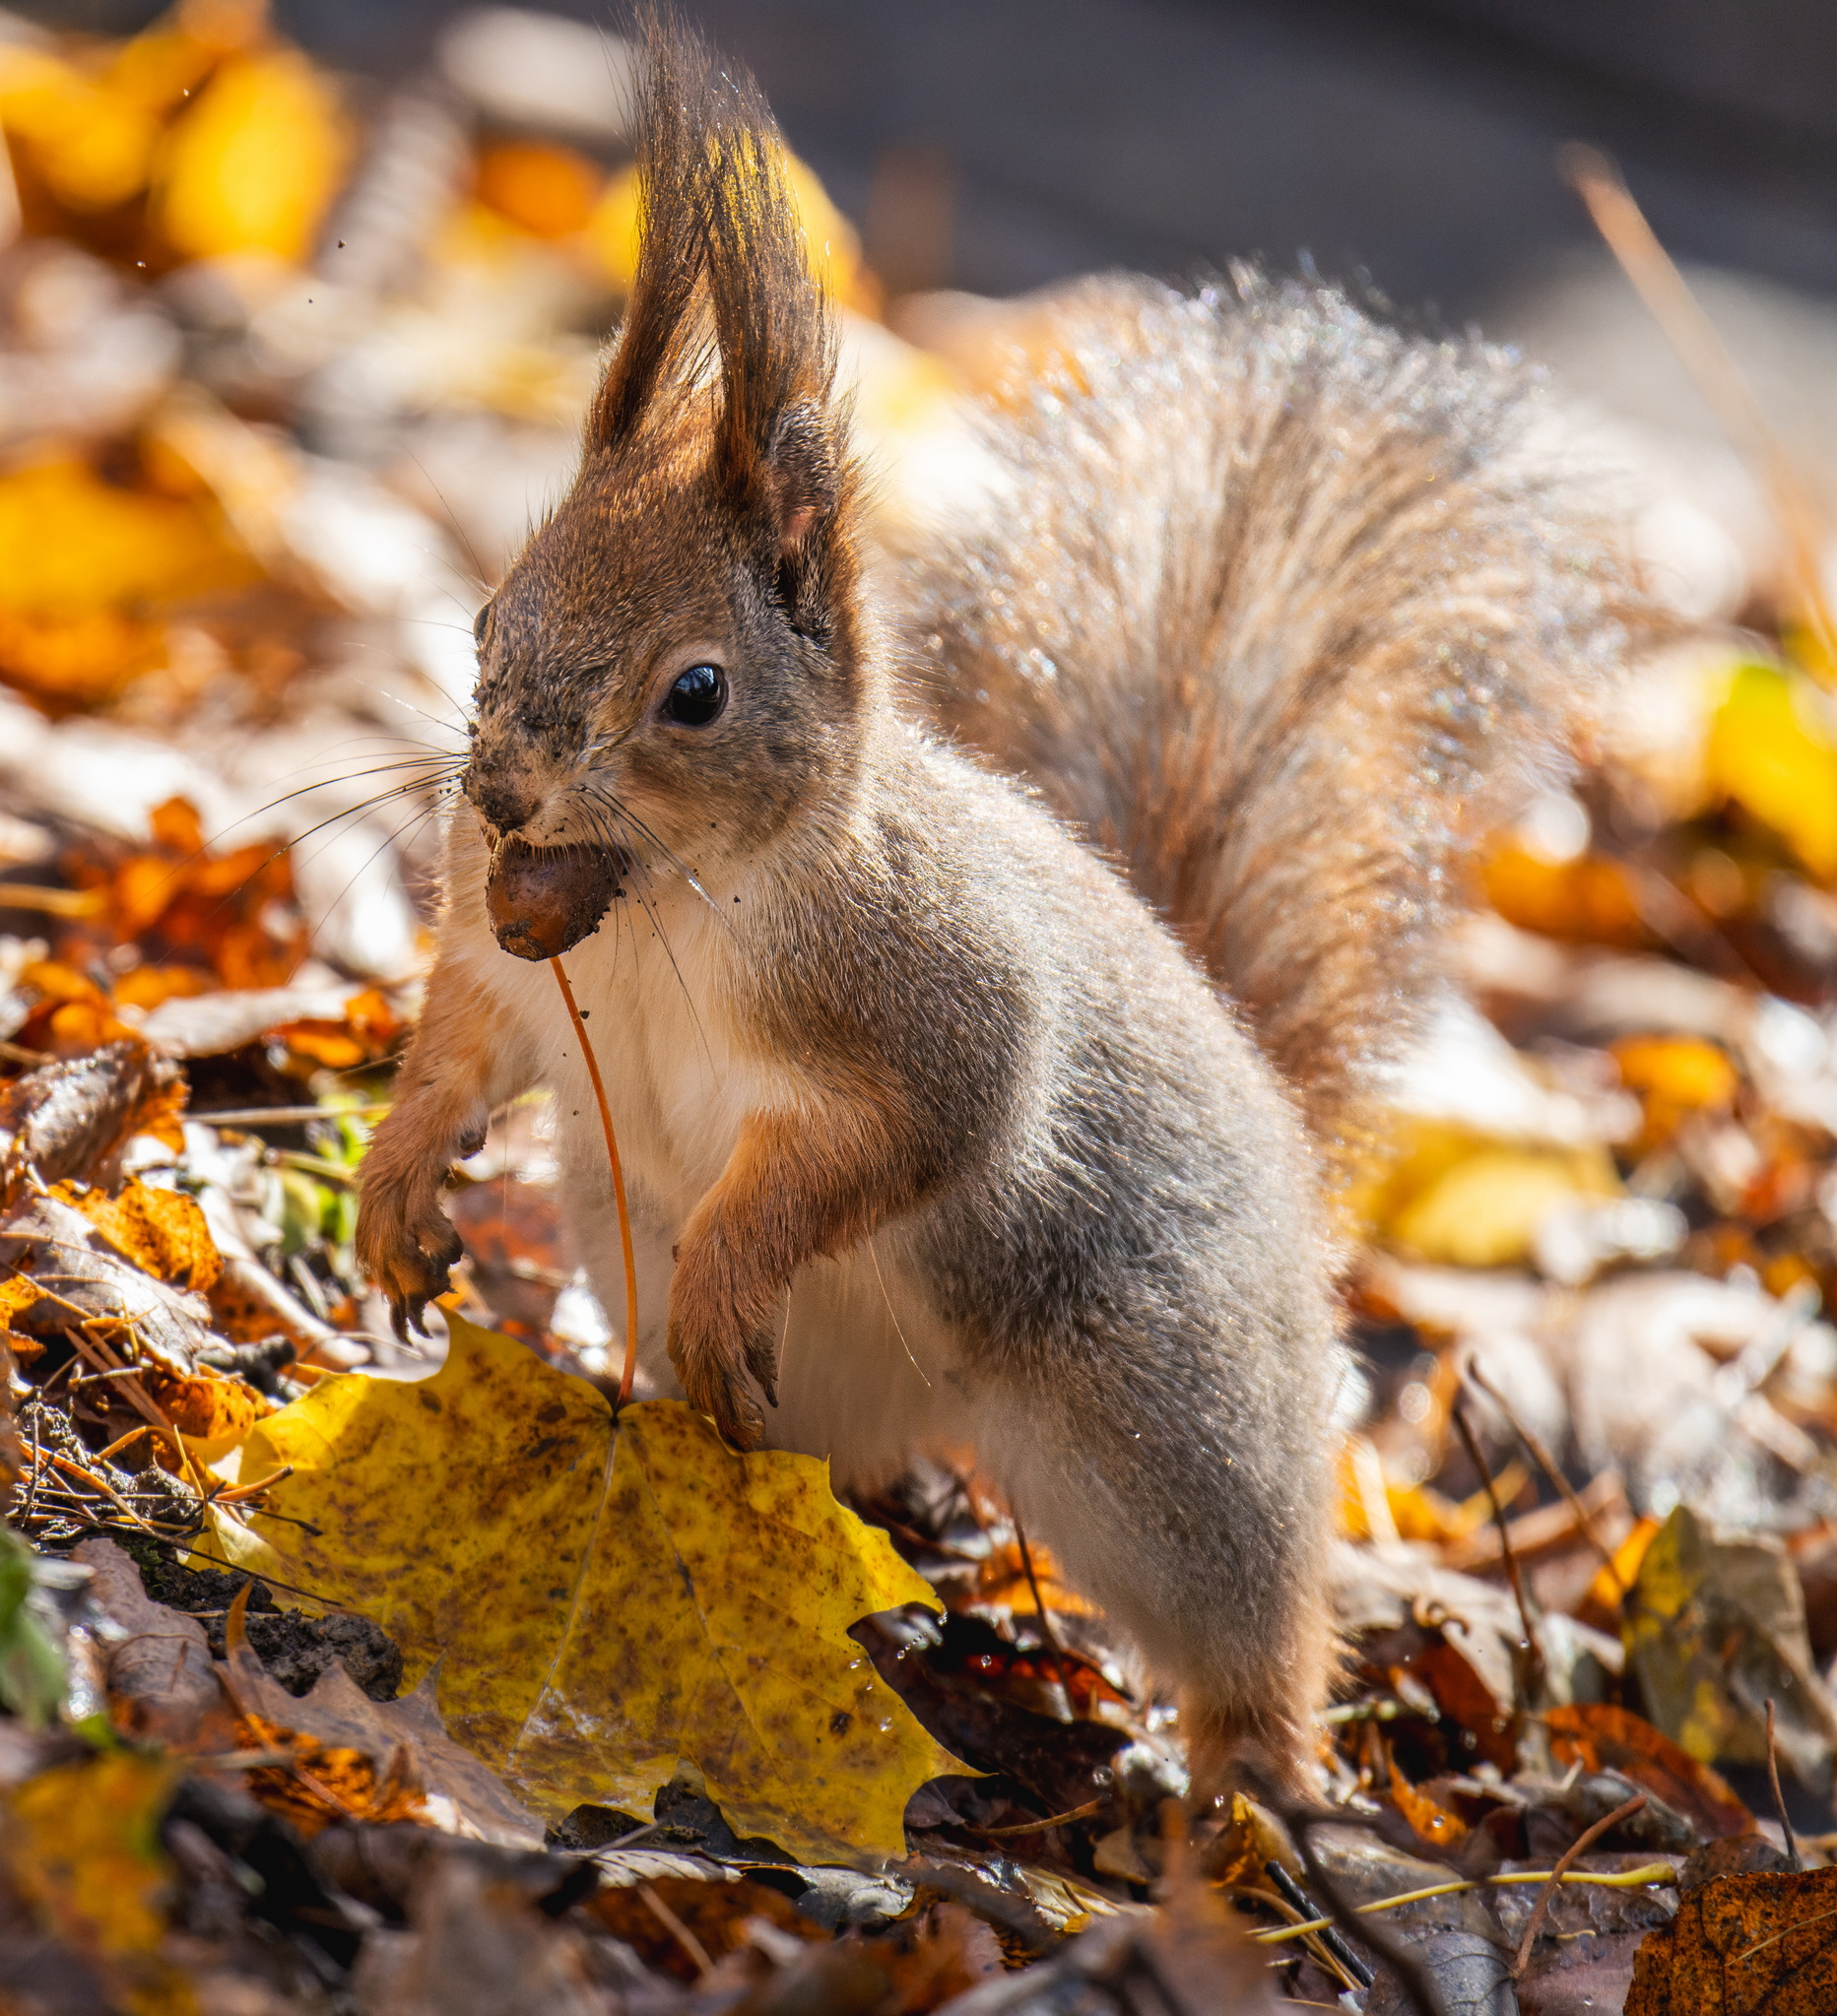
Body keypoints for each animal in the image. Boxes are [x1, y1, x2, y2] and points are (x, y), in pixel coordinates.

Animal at [353, 12, 1629, 1782]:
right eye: (486, 616)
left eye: (696, 692)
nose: (498, 795)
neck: (668, 900)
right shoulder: (502, 952)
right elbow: (456, 1049)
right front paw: (397, 1190)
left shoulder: (932, 1010)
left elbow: (894, 1142)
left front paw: (737, 1253)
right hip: (744, 1337)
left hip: (1172, 1427)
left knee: (1251, 1621)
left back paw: (1247, 1788)